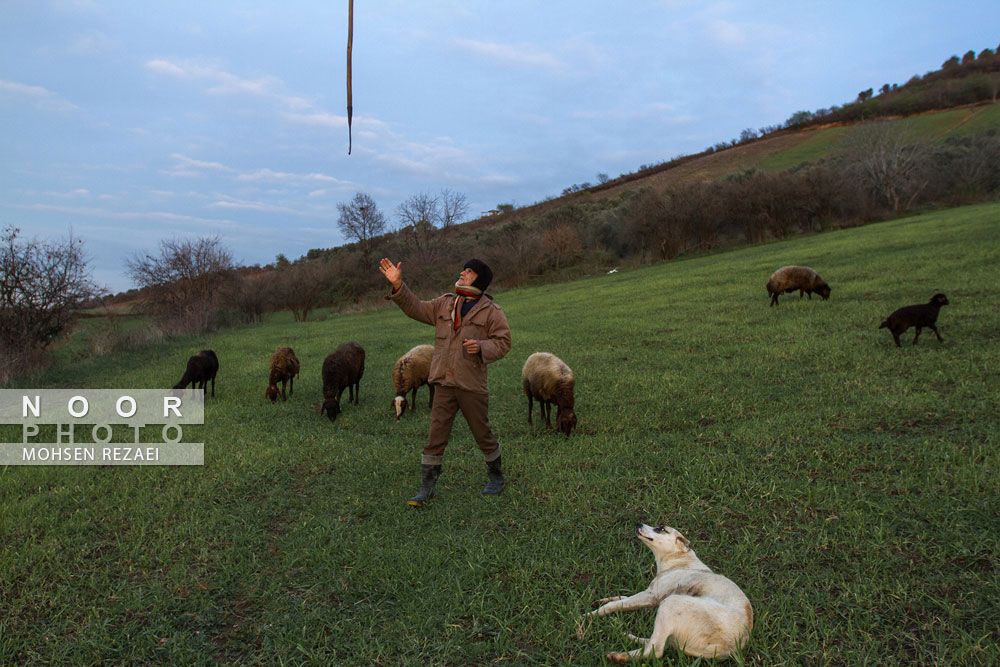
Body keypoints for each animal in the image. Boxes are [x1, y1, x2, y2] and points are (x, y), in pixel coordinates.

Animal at [580, 528, 752, 664]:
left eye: (661, 529)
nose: (638, 524)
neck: (679, 559)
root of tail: (731, 648)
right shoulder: (648, 596)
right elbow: (622, 598)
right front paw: (601, 601)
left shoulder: (651, 596)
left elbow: (613, 605)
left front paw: (591, 615)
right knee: (658, 642)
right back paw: (629, 637)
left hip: (672, 603)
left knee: (655, 650)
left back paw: (618, 656)